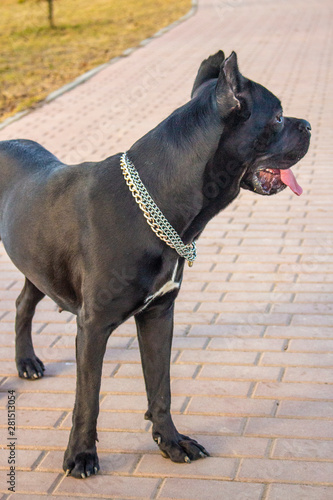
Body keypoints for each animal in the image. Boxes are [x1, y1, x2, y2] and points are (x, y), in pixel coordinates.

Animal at [1, 50, 310, 476]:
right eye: (278, 117)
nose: (310, 125)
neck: (160, 200)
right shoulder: (93, 325)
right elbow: (88, 399)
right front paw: (81, 455)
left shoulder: (159, 314)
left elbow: (160, 386)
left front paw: (171, 441)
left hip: (39, 261)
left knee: (23, 304)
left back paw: (26, 361)